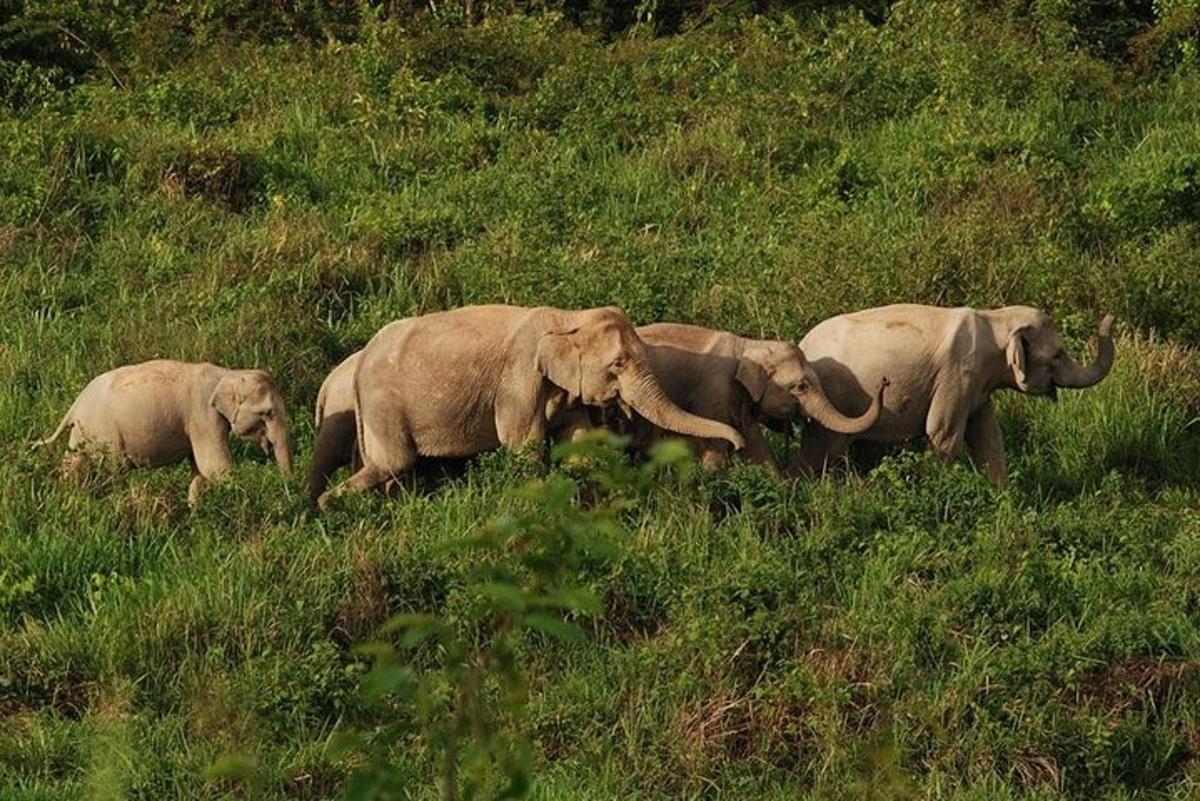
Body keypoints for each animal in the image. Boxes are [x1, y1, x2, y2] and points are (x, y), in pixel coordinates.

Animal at [316, 306, 739, 506]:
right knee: (393, 462)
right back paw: (328, 506)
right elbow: (523, 442)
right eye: (618, 364)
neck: (568, 317)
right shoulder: (519, 379)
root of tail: (360, 360)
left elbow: (578, 440)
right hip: (383, 404)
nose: (737, 444)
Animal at [796, 304, 1113, 482]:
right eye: (1058, 355)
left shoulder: (978, 387)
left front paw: (1001, 498)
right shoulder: (957, 373)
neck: (995, 319)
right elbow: (942, 433)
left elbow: (988, 437)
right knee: (825, 450)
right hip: (835, 399)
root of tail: (803, 345)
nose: (1109, 316)